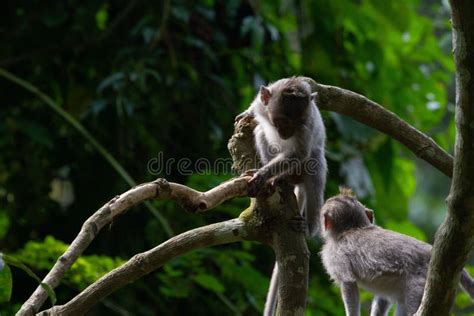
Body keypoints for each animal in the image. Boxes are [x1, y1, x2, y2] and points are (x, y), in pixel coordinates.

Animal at [235, 76, 328, 316]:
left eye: (296, 123)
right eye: (282, 121)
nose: (286, 133)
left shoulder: (306, 127)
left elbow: (298, 153)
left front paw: (262, 174)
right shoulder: (264, 105)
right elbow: (256, 114)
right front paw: (245, 114)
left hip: (306, 170)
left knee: (314, 166)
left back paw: (308, 227)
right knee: (260, 133)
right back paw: (280, 179)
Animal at [318, 188, 474, 316]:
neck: (353, 227)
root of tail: (432, 251)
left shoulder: (334, 254)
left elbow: (348, 283)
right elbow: (383, 297)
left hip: (421, 282)